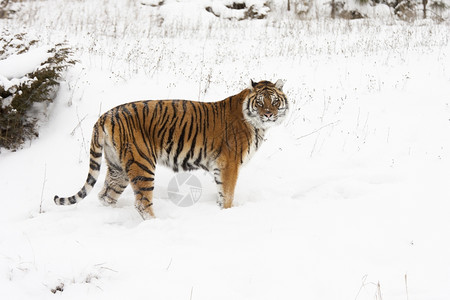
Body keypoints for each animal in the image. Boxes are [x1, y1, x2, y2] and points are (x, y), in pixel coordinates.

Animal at [54, 79, 288, 219]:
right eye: (260, 102)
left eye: (275, 101)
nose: (269, 114)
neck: (255, 123)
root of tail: (105, 115)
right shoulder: (229, 164)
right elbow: (228, 194)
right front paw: (227, 213)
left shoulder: (219, 167)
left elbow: (222, 193)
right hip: (142, 163)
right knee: (142, 203)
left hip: (116, 167)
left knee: (106, 195)